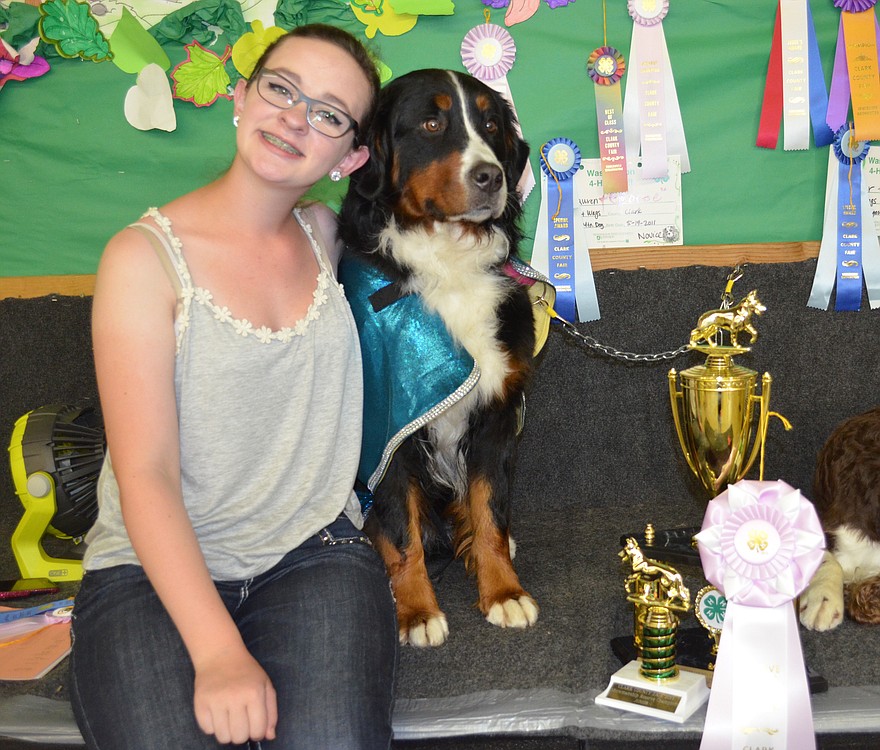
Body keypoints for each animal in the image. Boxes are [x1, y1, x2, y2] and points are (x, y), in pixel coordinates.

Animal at [338, 67, 540, 648]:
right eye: (431, 123)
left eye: (491, 125)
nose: (491, 177)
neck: (449, 260)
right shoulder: (386, 430)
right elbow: (401, 529)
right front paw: (417, 611)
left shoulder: (497, 416)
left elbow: (491, 510)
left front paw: (503, 591)